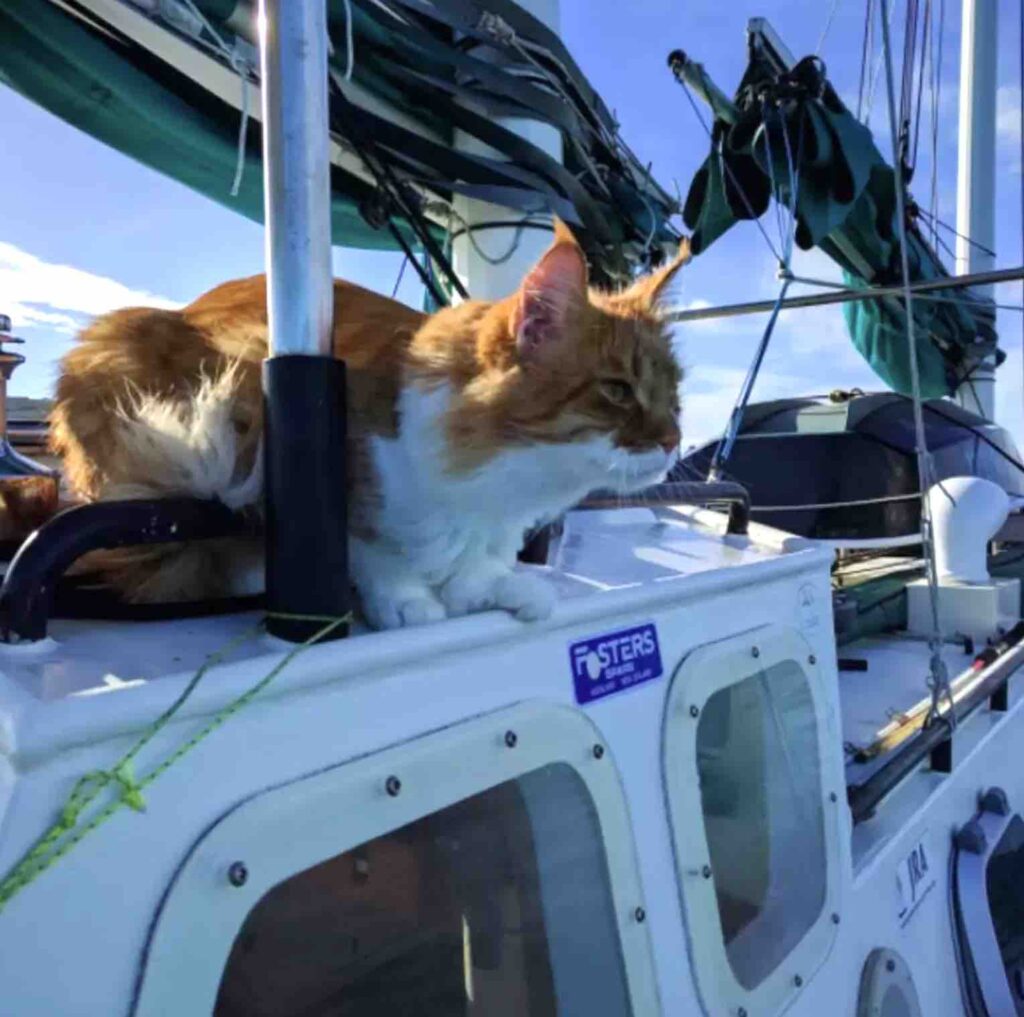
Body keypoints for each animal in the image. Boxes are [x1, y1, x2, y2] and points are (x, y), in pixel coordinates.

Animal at [49, 222, 688, 626]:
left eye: (673, 397)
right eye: (617, 390)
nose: (674, 440)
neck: (495, 487)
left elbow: (477, 567)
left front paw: (489, 587)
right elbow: (374, 548)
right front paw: (407, 599)